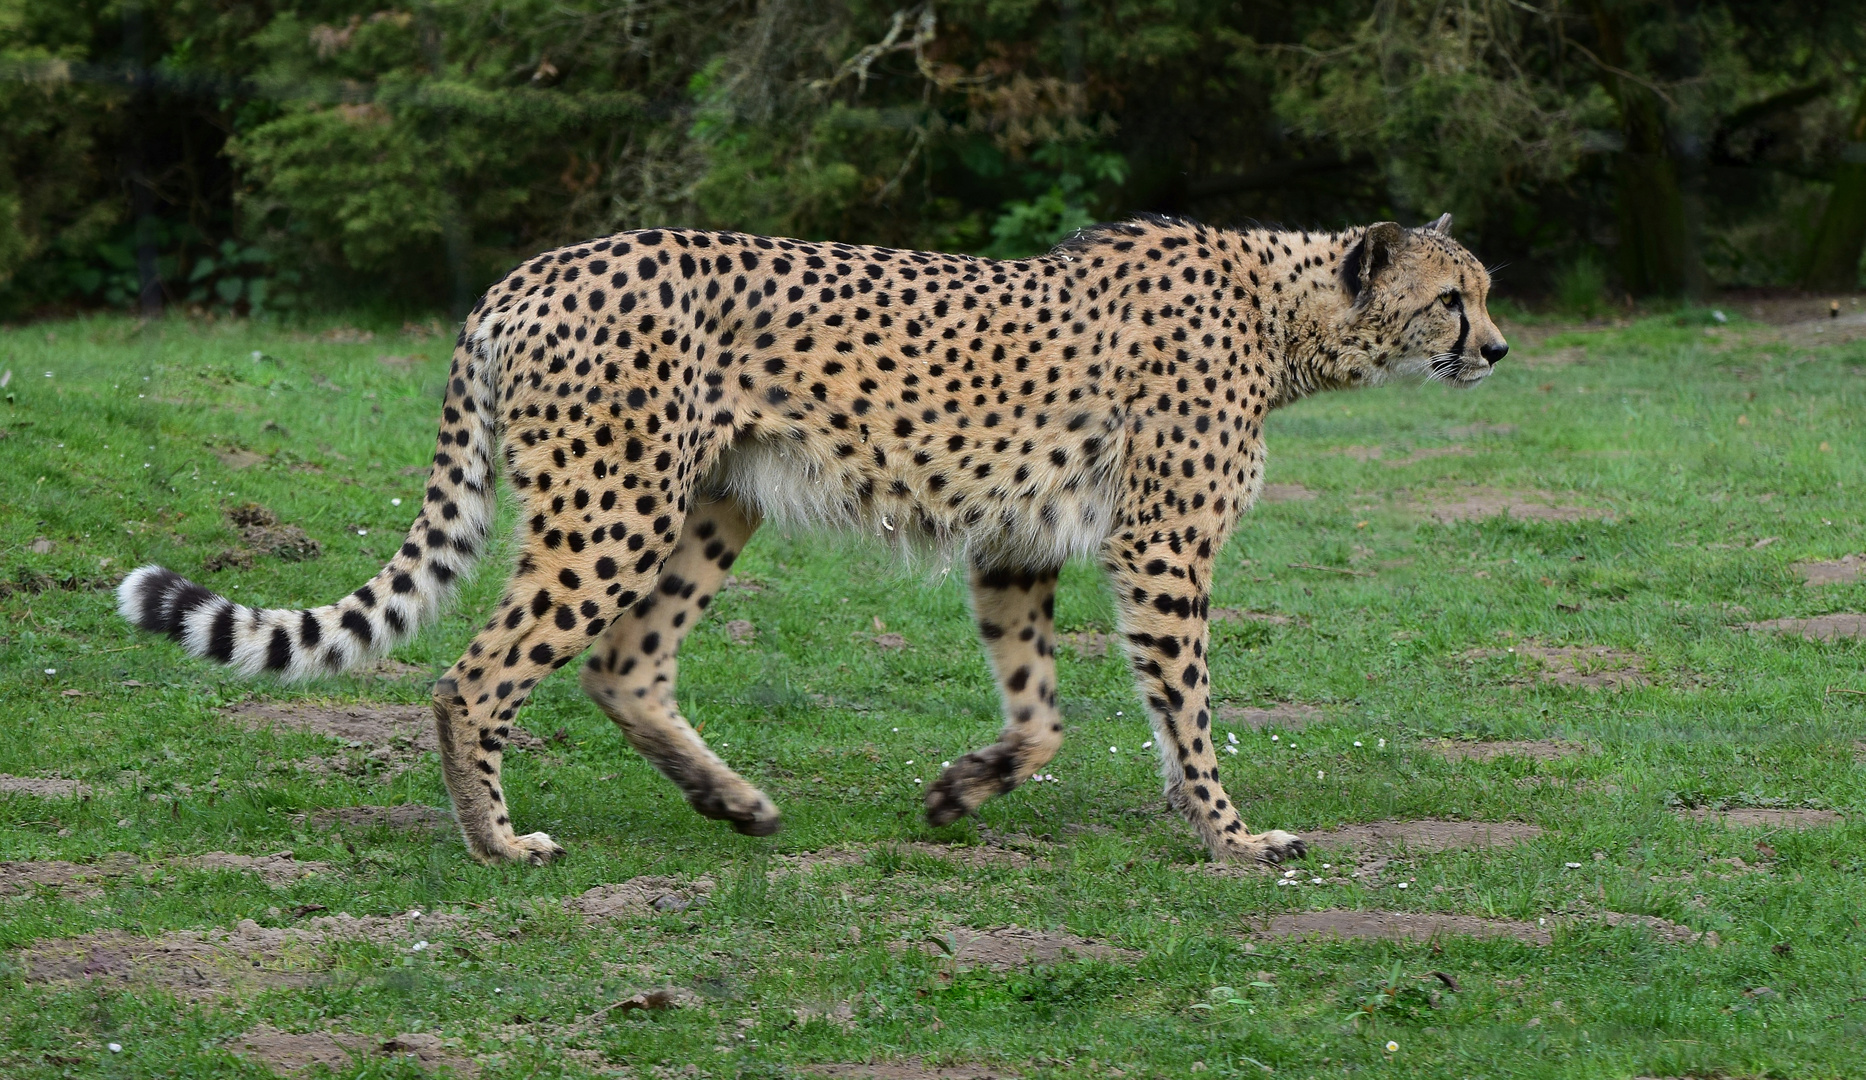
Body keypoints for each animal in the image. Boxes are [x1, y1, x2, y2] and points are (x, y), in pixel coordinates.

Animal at [116, 215, 1507, 865]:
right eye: (1453, 297)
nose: (1498, 349)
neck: (1286, 315)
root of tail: (529, 273)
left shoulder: (1017, 540)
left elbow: (1046, 712)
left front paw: (965, 789)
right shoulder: (1160, 546)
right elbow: (1188, 703)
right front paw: (1231, 835)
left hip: (712, 502)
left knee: (625, 665)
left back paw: (728, 800)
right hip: (611, 505)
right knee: (478, 677)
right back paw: (498, 842)